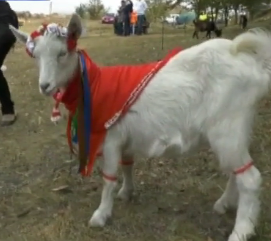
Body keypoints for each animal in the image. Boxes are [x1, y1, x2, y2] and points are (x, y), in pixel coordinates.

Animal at [9, 13, 271, 241]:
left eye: (63, 53)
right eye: (35, 56)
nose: (45, 86)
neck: (94, 85)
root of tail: (249, 62)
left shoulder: (110, 137)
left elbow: (109, 178)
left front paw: (101, 214)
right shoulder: (125, 137)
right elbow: (128, 165)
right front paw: (127, 192)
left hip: (227, 126)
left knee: (250, 179)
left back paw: (240, 231)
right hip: (236, 129)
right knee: (236, 171)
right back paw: (224, 205)